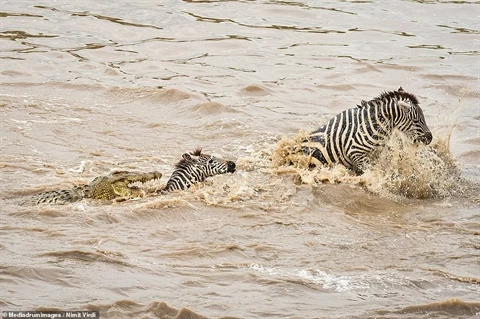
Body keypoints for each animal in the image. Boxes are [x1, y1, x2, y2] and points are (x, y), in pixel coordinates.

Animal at [300, 87, 432, 175]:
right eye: (416, 120)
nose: (430, 138)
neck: (371, 125)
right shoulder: (354, 152)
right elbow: (371, 172)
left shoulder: (376, 153)